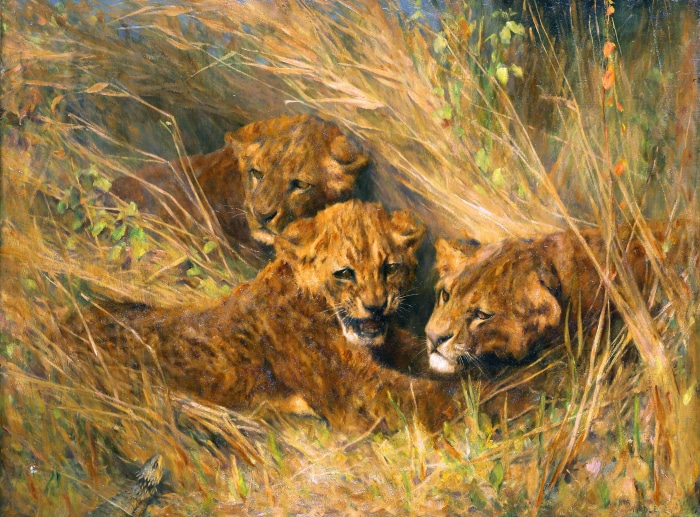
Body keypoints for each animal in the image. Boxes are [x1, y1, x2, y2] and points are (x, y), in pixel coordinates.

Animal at [66, 201, 457, 433]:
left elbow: (429, 360)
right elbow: (431, 398)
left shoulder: (393, 346)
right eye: (344, 273)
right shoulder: (358, 394)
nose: (377, 306)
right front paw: (472, 399)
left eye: (390, 267)